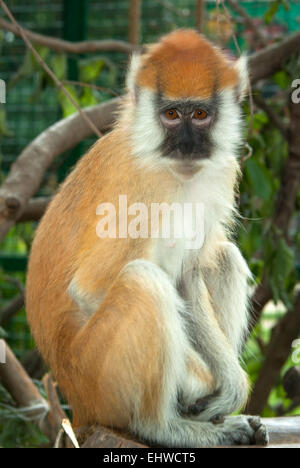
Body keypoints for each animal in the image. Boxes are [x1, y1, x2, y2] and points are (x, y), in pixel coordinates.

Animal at [26, 29, 270, 446]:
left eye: (200, 114)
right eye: (171, 115)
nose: (187, 145)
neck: (171, 169)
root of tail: (76, 403)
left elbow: (189, 275)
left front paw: (231, 386)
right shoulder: (140, 186)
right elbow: (89, 291)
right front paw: (201, 385)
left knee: (224, 258)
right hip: (95, 376)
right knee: (144, 281)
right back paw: (163, 427)